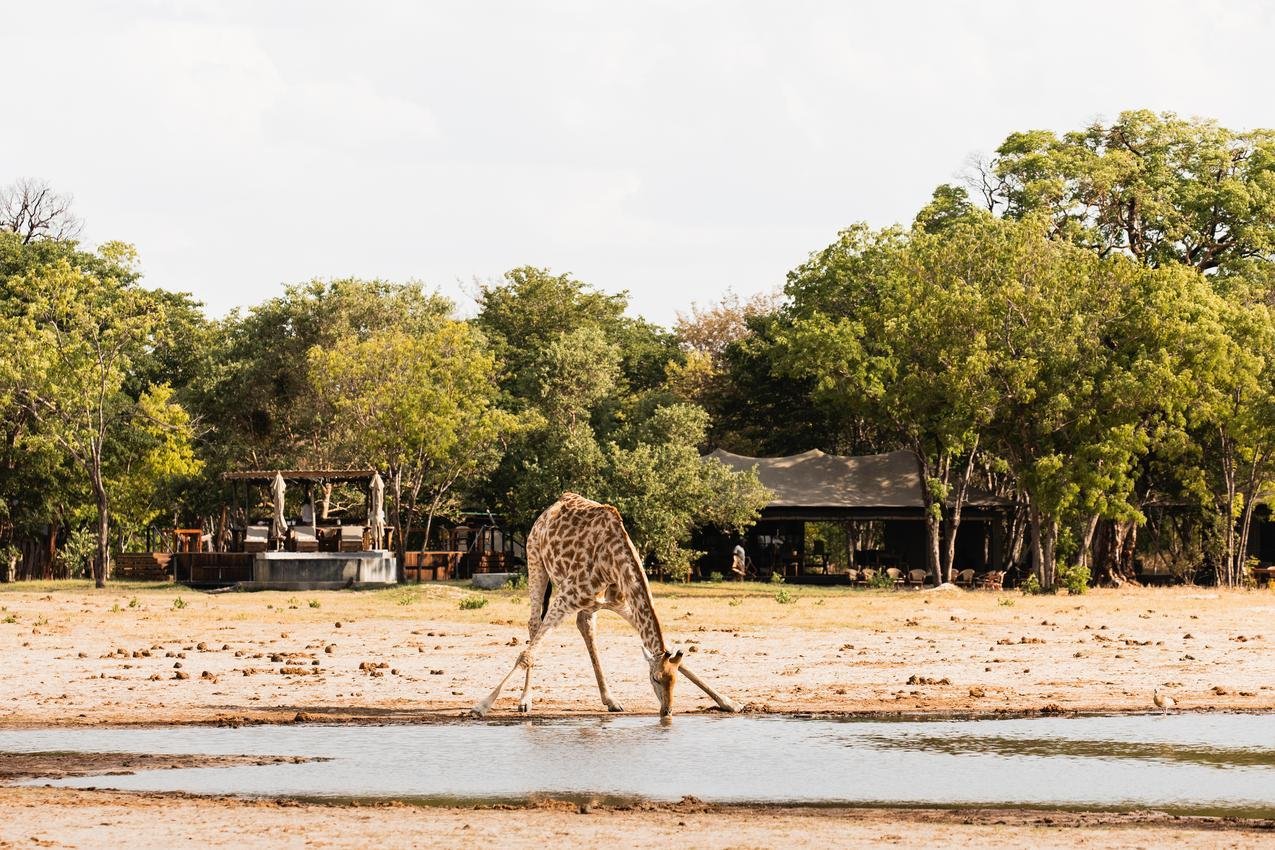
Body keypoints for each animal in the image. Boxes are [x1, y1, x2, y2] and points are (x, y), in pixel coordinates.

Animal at [471, 492, 742, 718]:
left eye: (673, 681)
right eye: (654, 679)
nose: (667, 712)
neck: (613, 561)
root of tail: (549, 509)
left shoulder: (623, 603)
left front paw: (730, 702)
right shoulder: (565, 597)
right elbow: (526, 654)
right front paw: (482, 705)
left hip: (589, 603)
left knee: (585, 627)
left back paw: (610, 699)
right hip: (536, 561)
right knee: (534, 624)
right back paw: (525, 700)